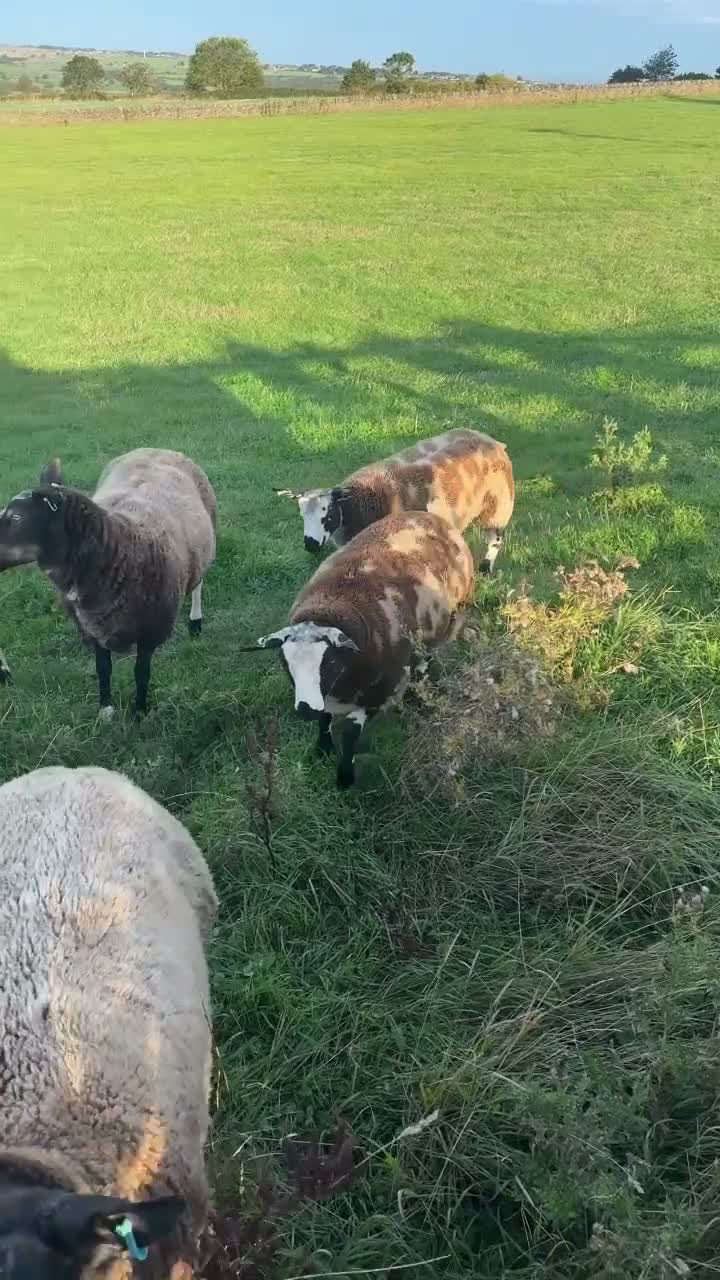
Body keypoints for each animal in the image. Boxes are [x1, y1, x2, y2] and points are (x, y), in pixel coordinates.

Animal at [0, 449, 216, 718]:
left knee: (199, 582)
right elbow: (103, 669)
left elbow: (141, 673)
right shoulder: (92, 628)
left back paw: (195, 622)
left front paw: (139, 713)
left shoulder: (150, 631)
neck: (119, 547)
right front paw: (106, 711)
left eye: (16, 517)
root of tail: (155, 449)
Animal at [243, 511, 475, 787]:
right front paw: (322, 750)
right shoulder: (326, 697)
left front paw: (344, 777)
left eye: (330, 662)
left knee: (426, 657)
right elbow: (324, 720)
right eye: (284, 662)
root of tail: (428, 516)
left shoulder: (379, 695)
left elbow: (351, 735)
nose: (305, 709)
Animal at [274, 428, 514, 570]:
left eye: (329, 515)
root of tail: (491, 440)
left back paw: (486, 567)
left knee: (496, 538)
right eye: (301, 514)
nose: (310, 545)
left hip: (497, 506)